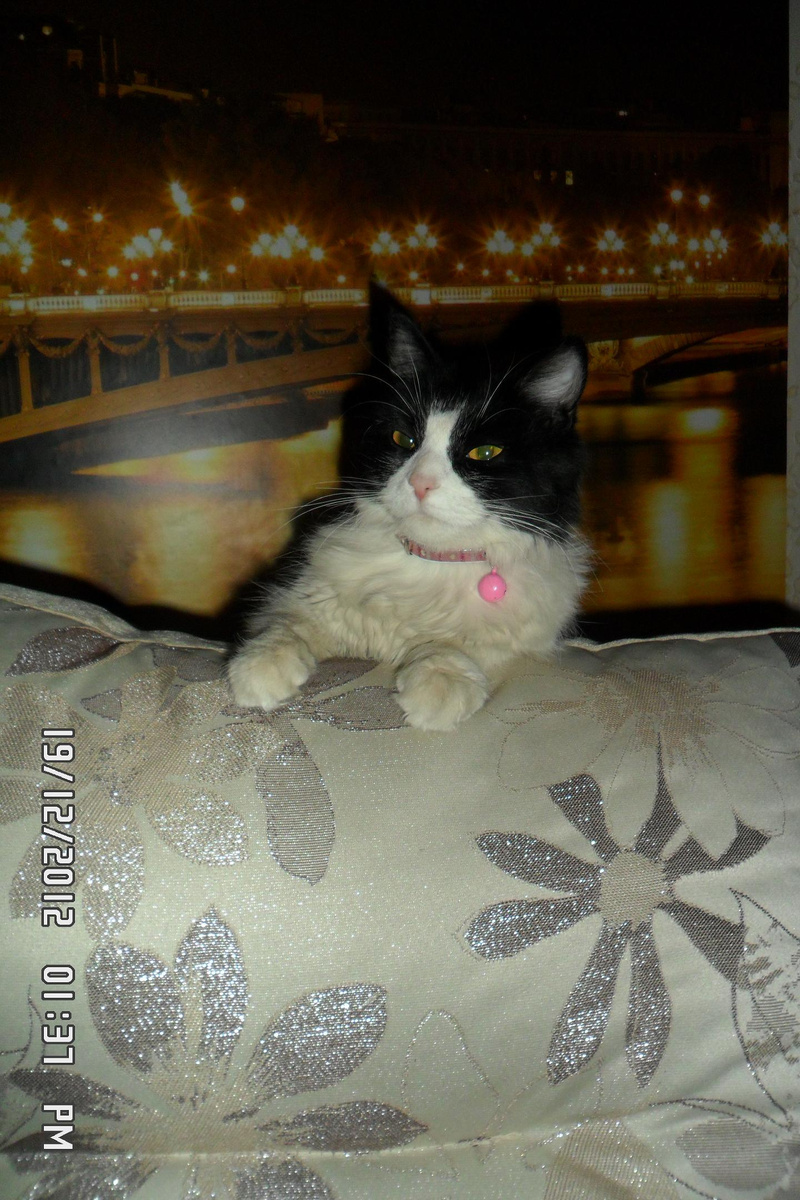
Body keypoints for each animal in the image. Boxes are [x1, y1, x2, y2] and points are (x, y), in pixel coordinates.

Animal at [227, 286, 590, 731]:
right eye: (404, 440)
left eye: (485, 452)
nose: (420, 483)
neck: (429, 563)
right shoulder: (300, 596)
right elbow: (287, 624)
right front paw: (260, 667)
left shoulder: (523, 636)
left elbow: (460, 644)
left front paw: (440, 683)